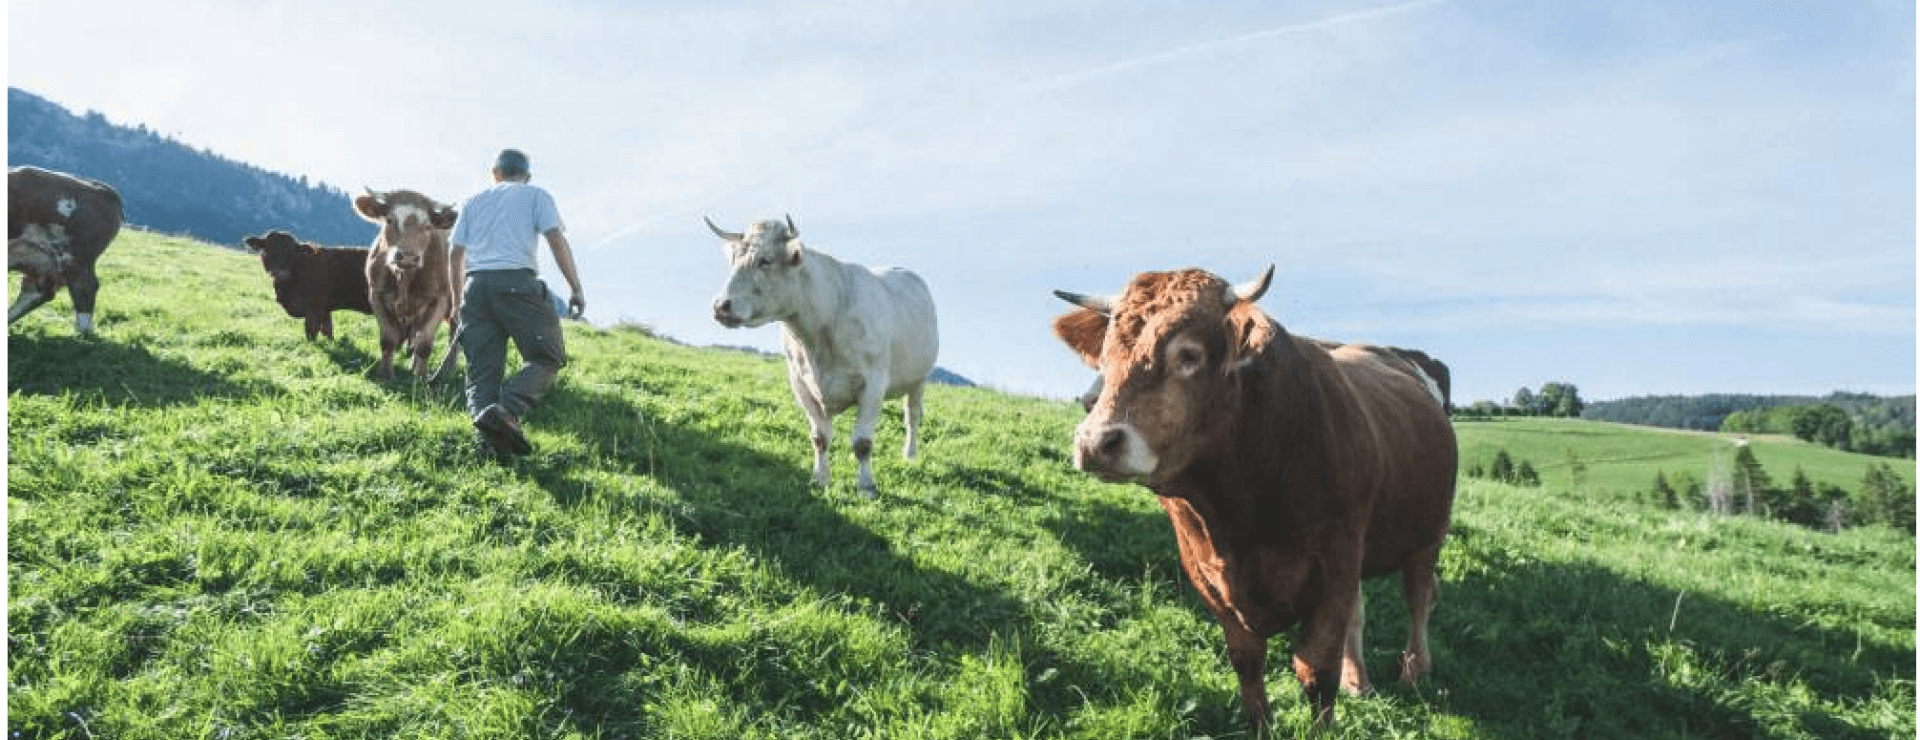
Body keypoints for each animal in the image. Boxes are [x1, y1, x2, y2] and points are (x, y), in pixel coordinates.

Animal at [351, 187, 462, 376]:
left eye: (428, 226)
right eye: (389, 220)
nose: (408, 257)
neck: (404, 278)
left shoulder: (440, 300)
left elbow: (424, 342)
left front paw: (420, 376)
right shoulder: (376, 295)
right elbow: (389, 338)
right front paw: (386, 374)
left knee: (453, 335)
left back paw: (447, 369)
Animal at [710, 216, 940, 499]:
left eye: (765, 260)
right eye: (734, 258)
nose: (721, 306)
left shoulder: (874, 383)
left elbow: (862, 443)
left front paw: (866, 487)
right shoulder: (800, 383)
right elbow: (820, 437)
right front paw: (819, 479)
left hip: (920, 378)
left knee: (912, 416)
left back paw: (910, 454)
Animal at [1052, 265, 1451, 730]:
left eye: (1189, 354)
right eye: (1104, 354)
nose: (1096, 442)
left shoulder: (1336, 561)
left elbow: (1316, 667)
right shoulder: (1205, 570)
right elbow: (1247, 660)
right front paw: (1262, 724)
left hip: (1428, 533)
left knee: (1418, 598)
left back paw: (1414, 671)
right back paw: (1359, 682)